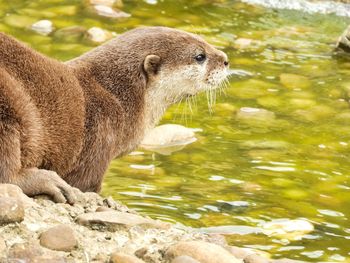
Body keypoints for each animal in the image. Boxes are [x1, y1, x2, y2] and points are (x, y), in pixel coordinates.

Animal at [0, 26, 228, 204]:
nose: (226, 60)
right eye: (200, 56)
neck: (119, 100)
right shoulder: (98, 139)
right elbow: (84, 185)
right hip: (12, 103)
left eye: (204, 41)